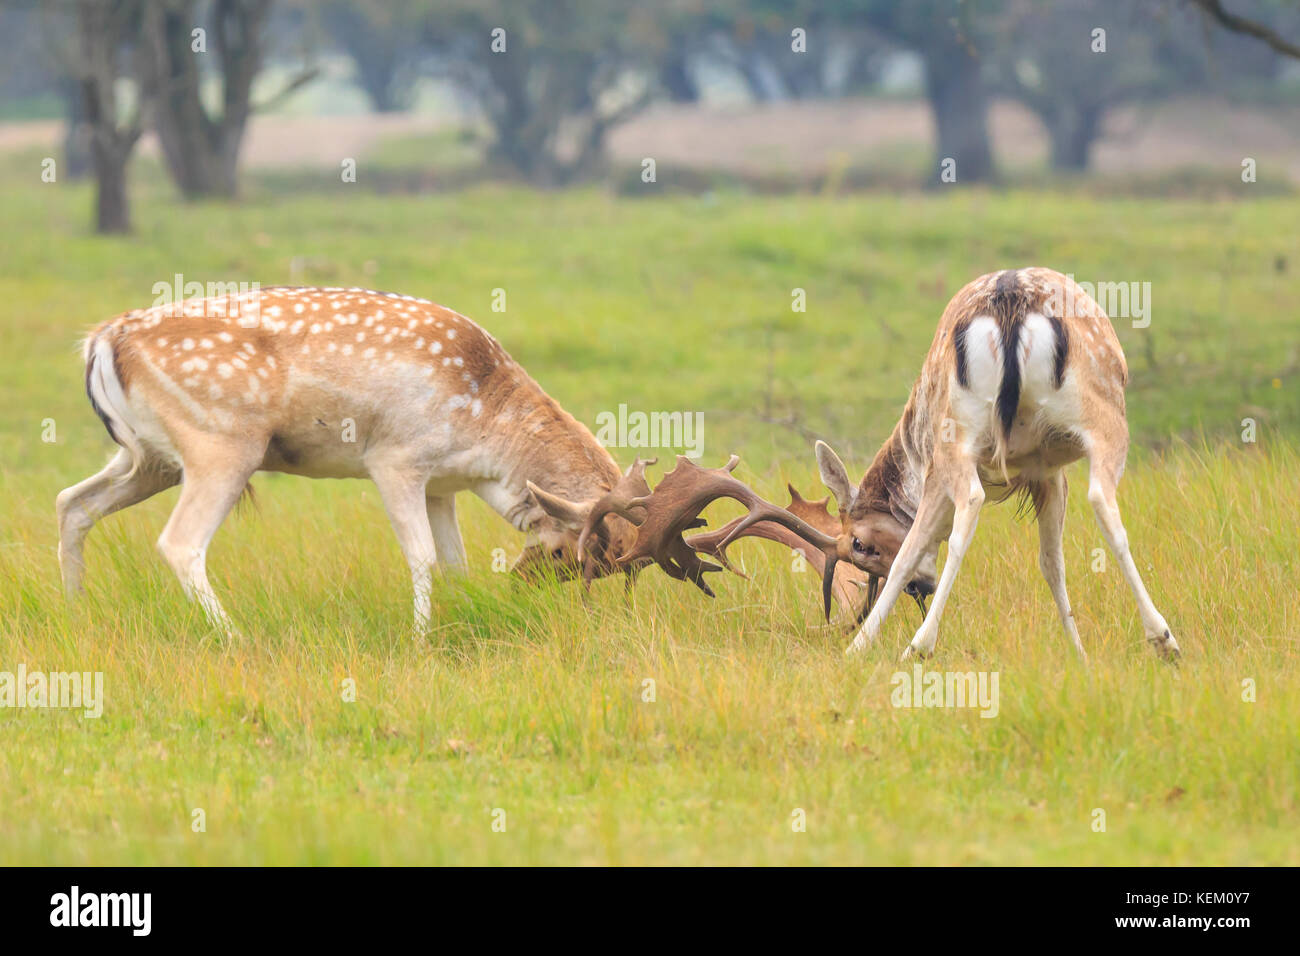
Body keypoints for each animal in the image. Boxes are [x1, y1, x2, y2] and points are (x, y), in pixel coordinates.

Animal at [55, 291, 655, 634]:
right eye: (567, 554)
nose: (522, 585)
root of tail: (103, 341)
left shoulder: (442, 485)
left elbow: (455, 562)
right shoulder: (395, 459)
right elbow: (422, 557)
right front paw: (419, 640)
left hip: (150, 458)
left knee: (72, 502)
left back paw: (78, 614)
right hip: (221, 444)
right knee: (179, 542)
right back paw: (235, 636)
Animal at [624, 265, 1185, 660]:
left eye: (858, 544)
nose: (922, 588)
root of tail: (1009, 303)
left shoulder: (1029, 471)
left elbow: (1038, 560)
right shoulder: (1045, 471)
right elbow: (1050, 561)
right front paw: (1080, 653)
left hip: (999, 432)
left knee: (990, 508)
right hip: (1064, 421)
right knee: (1075, 500)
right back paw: (1162, 638)